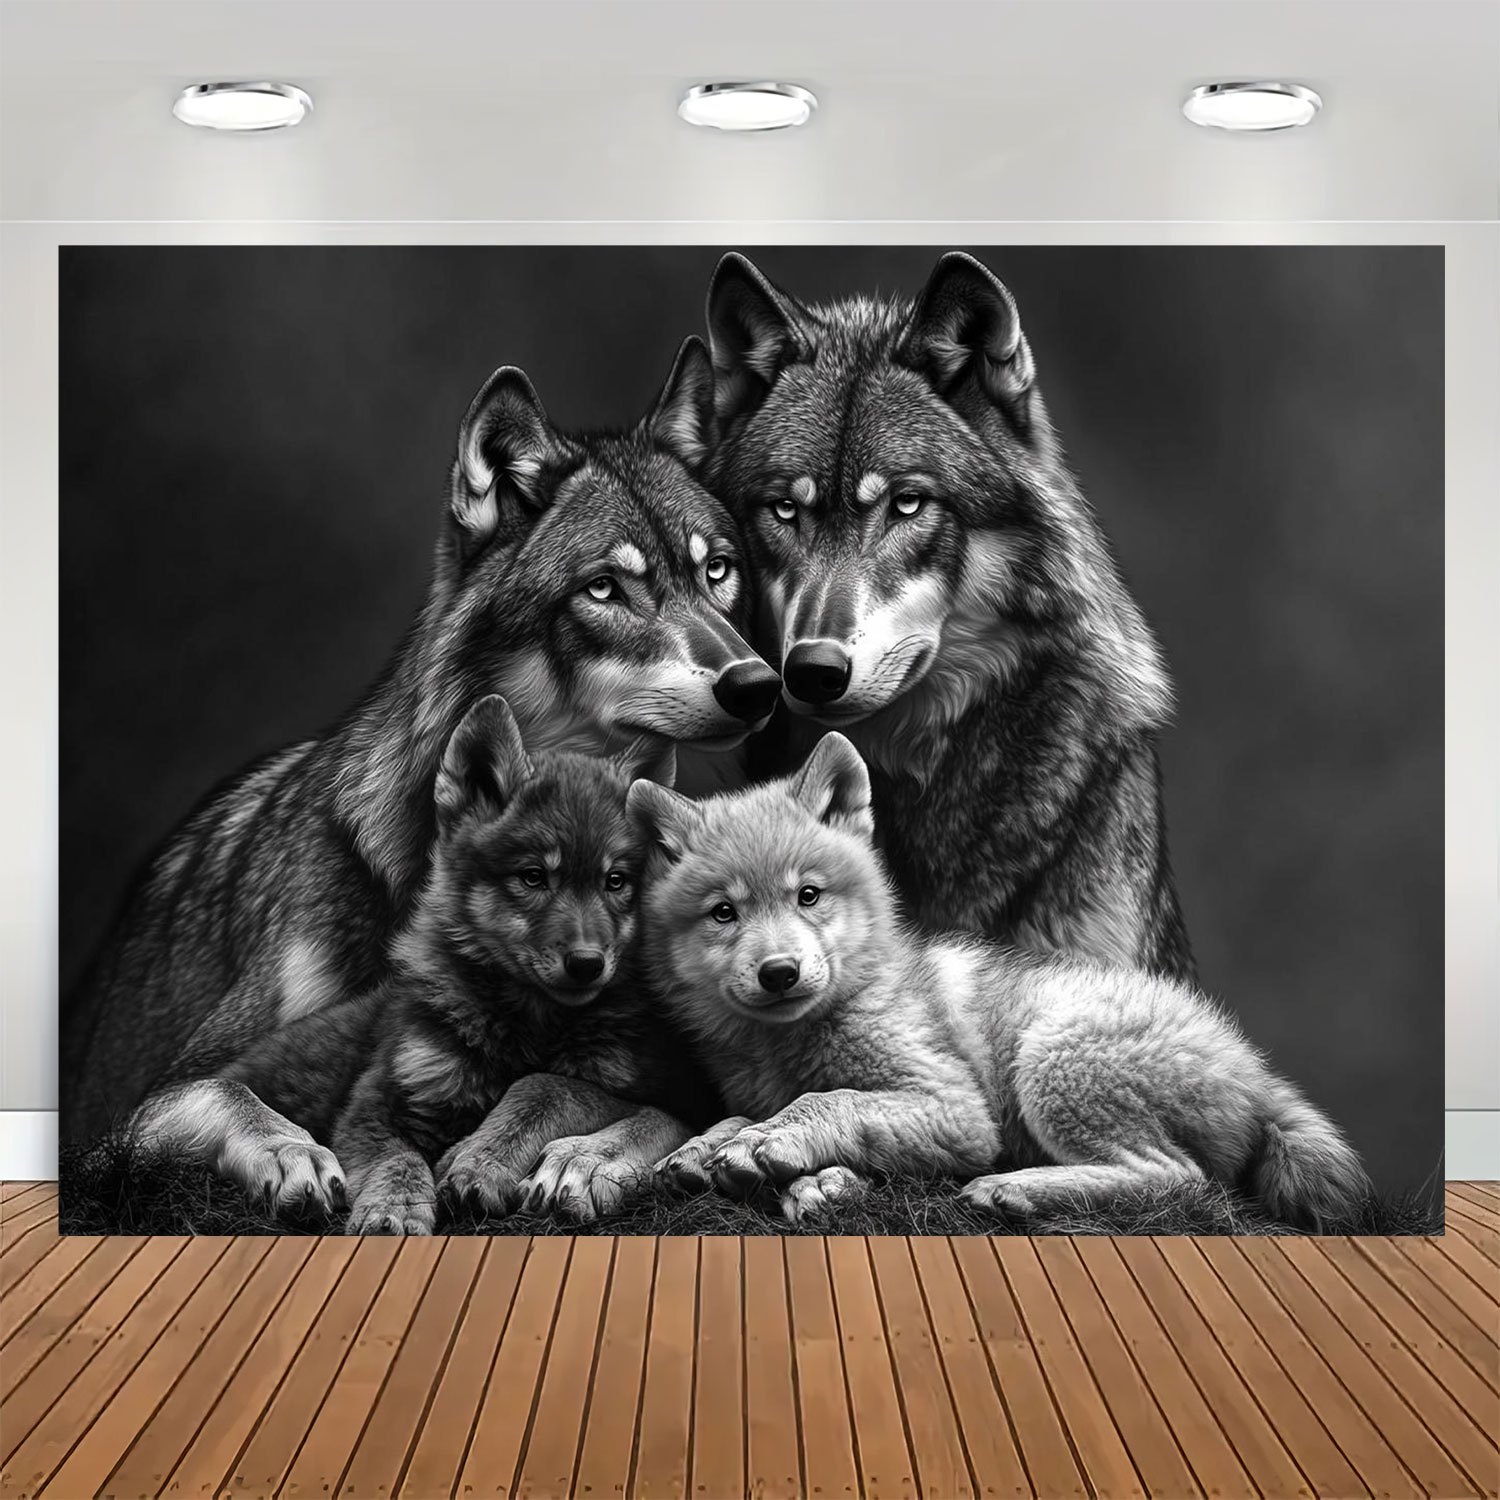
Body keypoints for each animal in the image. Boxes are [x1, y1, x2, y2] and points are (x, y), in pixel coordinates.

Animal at [333, 696, 713, 1233]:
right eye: (533, 877)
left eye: (616, 881)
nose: (587, 964)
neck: (530, 1029)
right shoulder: (372, 1105)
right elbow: (397, 1158)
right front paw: (394, 1210)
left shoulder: (669, 1092)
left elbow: (545, 1086)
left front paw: (480, 1159)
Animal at [629, 734, 1370, 1230]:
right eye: (724, 913)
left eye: (807, 896)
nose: (779, 973)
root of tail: (1254, 1070)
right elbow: (738, 1116)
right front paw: (711, 1149)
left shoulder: (959, 1111)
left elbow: (829, 1100)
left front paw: (774, 1145)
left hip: (1052, 1060)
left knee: (1182, 1181)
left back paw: (1016, 1189)